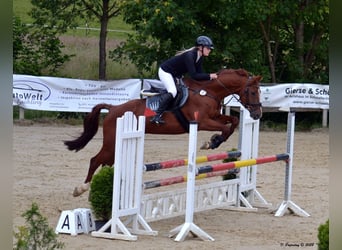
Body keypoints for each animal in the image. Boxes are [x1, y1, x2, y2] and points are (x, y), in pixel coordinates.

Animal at [65, 69, 262, 197]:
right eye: (253, 92)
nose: (257, 114)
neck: (208, 92)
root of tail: (113, 108)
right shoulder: (202, 122)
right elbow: (225, 127)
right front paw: (212, 142)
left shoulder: (215, 116)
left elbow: (233, 122)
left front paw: (215, 140)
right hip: (111, 142)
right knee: (95, 160)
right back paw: (80, 188)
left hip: (113, 146)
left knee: (106, 163)